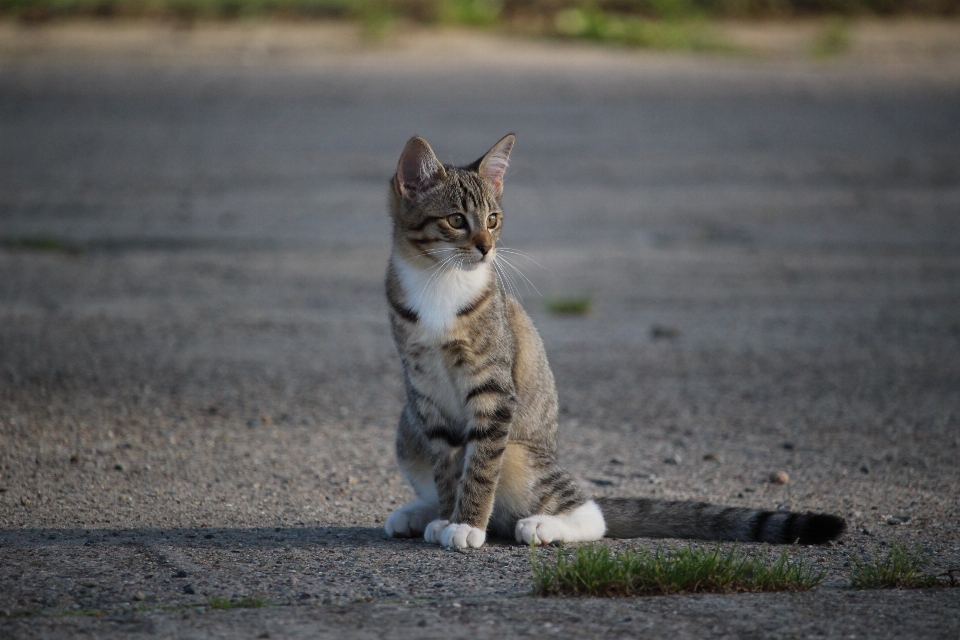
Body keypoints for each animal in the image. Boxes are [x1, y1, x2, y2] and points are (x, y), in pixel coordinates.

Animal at [378, 135, 844, 552]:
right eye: (456, 220)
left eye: (493, 219)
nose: (487, 249)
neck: (439, 283)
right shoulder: (425, 394)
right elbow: (445, 466)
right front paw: (445, 516)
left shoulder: (494, 391)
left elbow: (478, 467)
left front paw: (466, 525)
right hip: (407, 428)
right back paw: (419, 513)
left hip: (520, 454)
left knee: (588, 513)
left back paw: (541, 524)